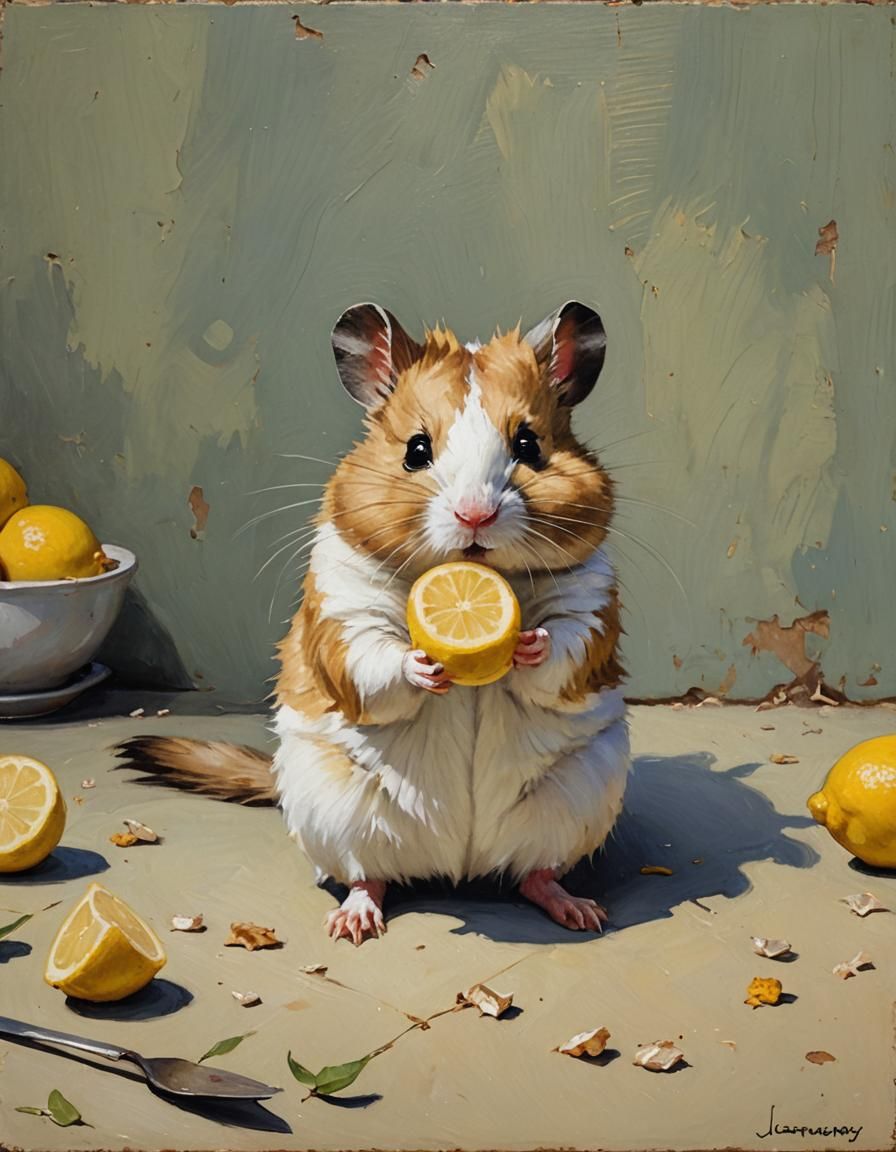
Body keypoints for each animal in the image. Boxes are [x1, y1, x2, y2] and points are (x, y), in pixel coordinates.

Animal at [118, 300, 630, 946]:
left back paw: (581, 911)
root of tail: (459, 867)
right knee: (369, 875)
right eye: (416, 449)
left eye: (529, 444)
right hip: (335, 810)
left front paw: (525, 644)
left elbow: (561, 646)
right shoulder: (343, 611)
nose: (475, 516)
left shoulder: (591, 605)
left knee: (535, 873)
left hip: (579, 798)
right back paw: (353, 923)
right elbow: (377, 660)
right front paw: (426, 666)